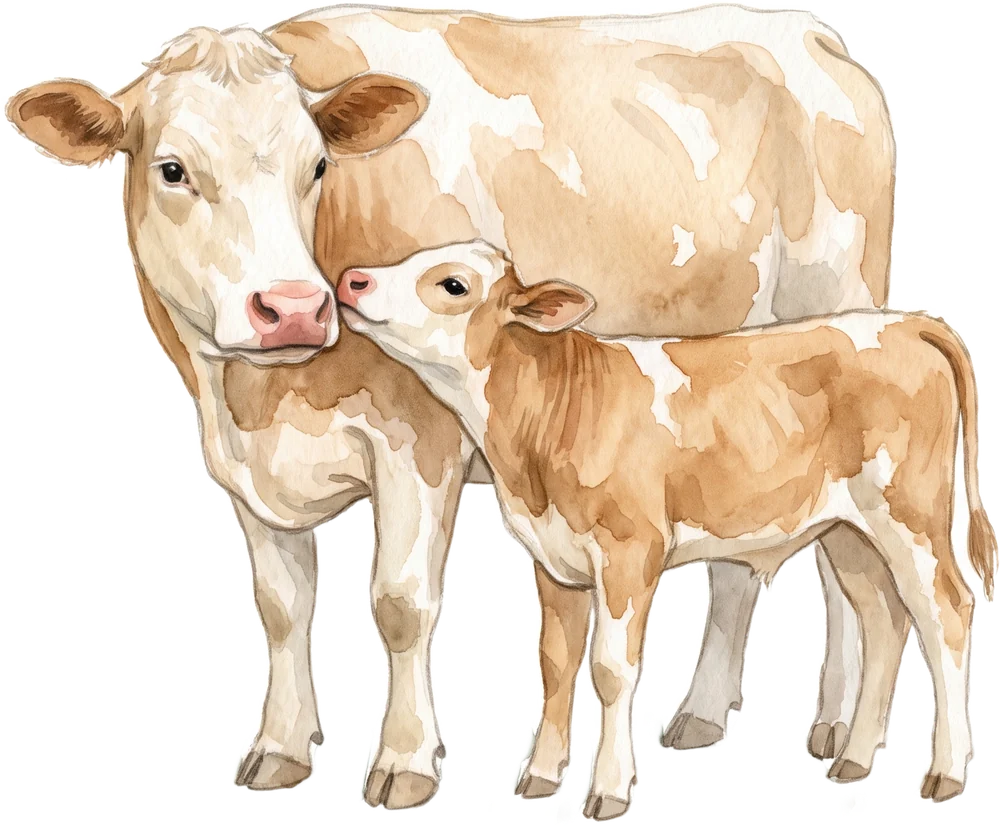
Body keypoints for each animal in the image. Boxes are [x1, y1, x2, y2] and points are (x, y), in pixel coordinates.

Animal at [3, 3, 899, 806]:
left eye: (316, 168)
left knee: (842, 563)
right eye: (173, 170)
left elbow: (401, 603)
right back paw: (707, 717)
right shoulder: (243, 466)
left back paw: (832, 729)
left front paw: (405, 768)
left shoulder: (419, 441)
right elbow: (285, 609)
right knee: (749, 563)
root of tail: (807, 30)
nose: (293, 308)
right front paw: (281, 752)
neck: (255, 398)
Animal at [336, 239, 998, 817]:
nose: (352, 279)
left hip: (912, 516)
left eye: (453, 284)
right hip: (849, 531)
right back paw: (855, 761)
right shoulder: (555, 560)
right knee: (885, 617)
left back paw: (944, 774)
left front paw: (608, 792)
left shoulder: (630, 552)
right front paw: (540, 778)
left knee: (945, 614)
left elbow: (610, 668)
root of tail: (901, 324)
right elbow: (555, 662)